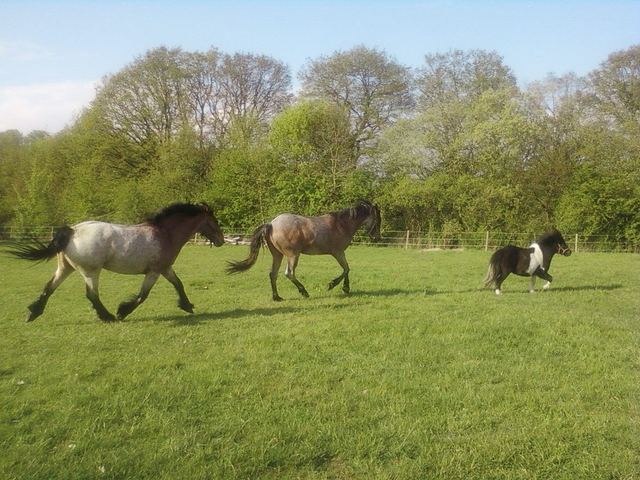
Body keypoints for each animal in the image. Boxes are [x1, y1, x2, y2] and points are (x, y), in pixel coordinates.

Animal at [9, 203, 225, 322]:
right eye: (214, 222)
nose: (221, 240)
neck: (165, 234)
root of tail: (72, 230)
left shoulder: (165, 269)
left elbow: (178, 284)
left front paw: (187, 306)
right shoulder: (154, 272)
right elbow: (142, 296)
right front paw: (122, 312)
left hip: (65, 268)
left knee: (49, 288)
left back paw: (33, 313)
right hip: (91, 272)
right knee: (92, 295)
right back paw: (108, 317)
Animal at [226, 200, 381, 301]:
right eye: (378, 220)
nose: (377, 237)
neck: (341, 224)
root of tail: (271, 224)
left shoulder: (339, 253)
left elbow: (347, 269)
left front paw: (345, 288)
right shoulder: (338, 252)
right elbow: (346, 269)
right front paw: (334, 285)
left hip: (278, 255)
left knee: (273, 274)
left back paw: (277, 297)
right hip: (293, 255)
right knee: (289, 273)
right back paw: (304, 292)